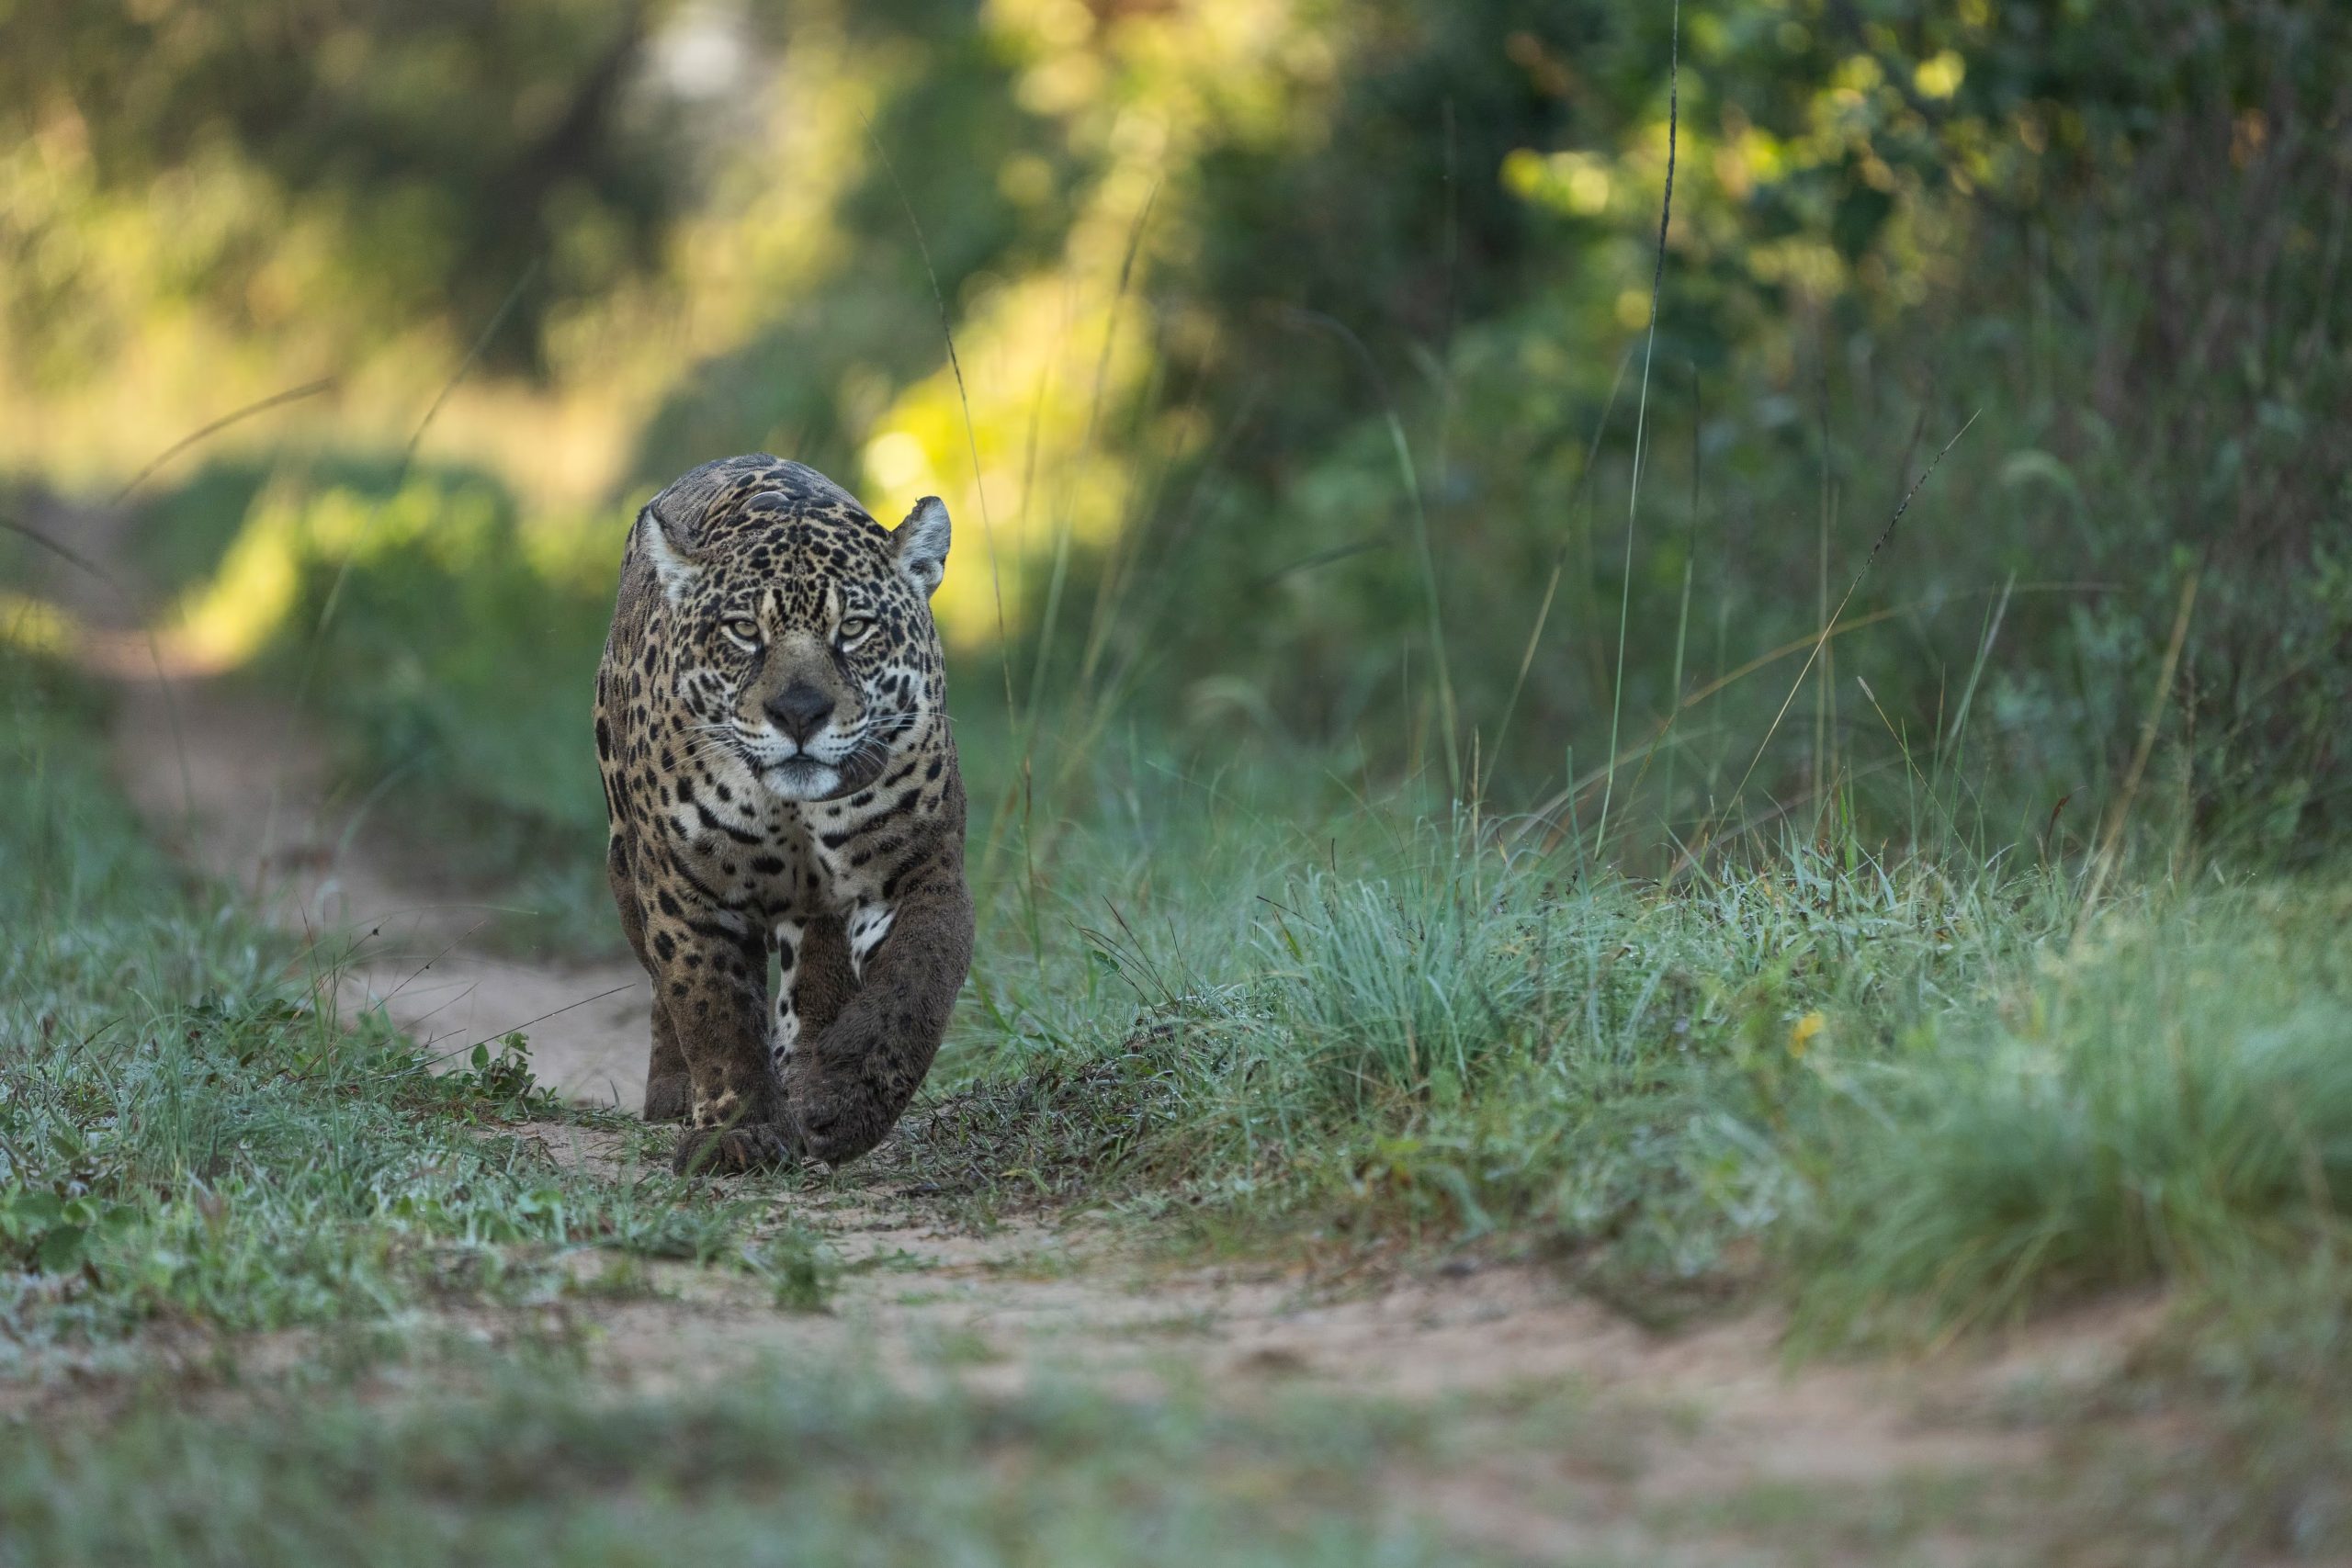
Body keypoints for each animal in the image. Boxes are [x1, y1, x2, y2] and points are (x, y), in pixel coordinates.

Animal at [594, 453, 973, 1174]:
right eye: (745, 631)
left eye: (852, 628)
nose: (799, 713)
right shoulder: (687, 890)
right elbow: (711, 1009)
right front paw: (736, 1133)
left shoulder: (922, 868)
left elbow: (917, 981)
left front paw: (844, 1104)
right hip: (626, 867)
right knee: (661, 991)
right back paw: (674, 1093)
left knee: (816, 980)